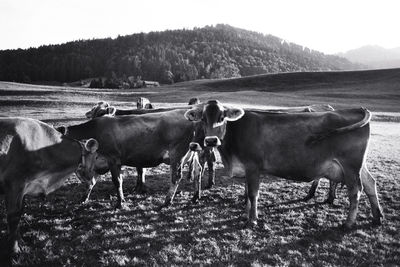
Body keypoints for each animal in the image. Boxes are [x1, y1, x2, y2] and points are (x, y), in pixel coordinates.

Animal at [0, 118, 99, 255]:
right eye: (96, 157)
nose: (94, 181)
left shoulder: (23, 188)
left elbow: (20, 213)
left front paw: (20, 241)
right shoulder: (14, 183)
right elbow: (13, 216)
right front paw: (15, 249)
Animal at [58, 109, 205, 209]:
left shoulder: (112, 159)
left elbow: (117, 181)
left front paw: (120, 203)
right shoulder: (96, 164)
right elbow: (91, 182)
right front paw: (84, 198)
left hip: (177, 155)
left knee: (176, 177)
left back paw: (167, 201)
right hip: (193, 153)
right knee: (197, 171)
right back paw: (195, 197)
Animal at [184, 100, 384, 230]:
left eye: (222, 117)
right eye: (202, 119)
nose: (210, 140)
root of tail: (354, 109)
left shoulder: (253, 166)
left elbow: (253, 194)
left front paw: (252, 220)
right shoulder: (247, 169)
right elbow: (247, 194)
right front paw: (246, 214)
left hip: (350, 166)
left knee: (355, 191)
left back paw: (349, 223)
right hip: (358, 166)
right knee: (370, 183)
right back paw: (377, 217)